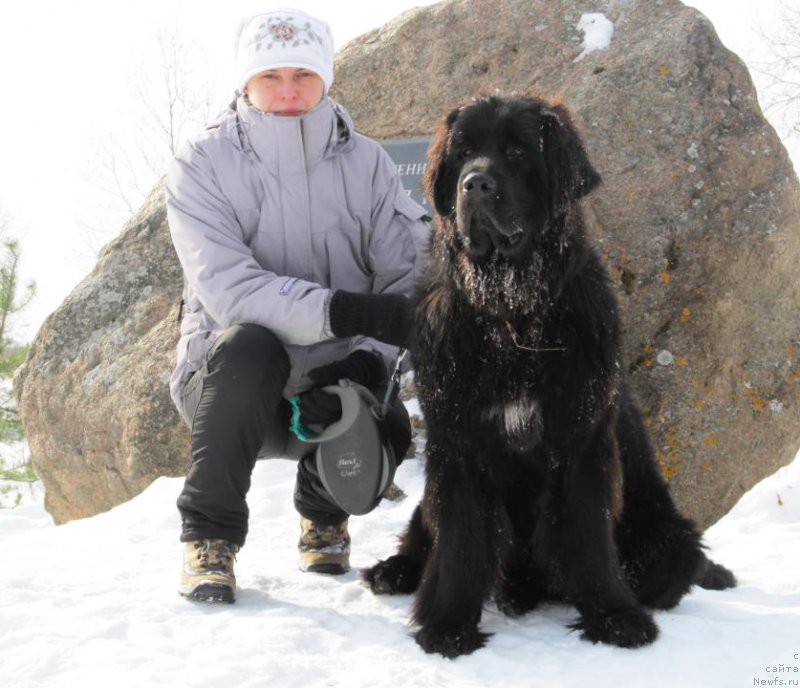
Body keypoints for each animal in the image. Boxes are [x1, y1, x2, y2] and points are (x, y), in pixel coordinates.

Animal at [362, 95, 736, 656]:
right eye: (463, 153)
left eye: (518, 152)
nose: (475, 184)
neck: (513, 318)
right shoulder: (459, 441)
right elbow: (459, 538)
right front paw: (449, 624)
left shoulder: (578, 439)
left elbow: (587, 533)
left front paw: (614, 616)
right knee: (422, 536)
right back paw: (395, 571)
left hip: (668, 540)